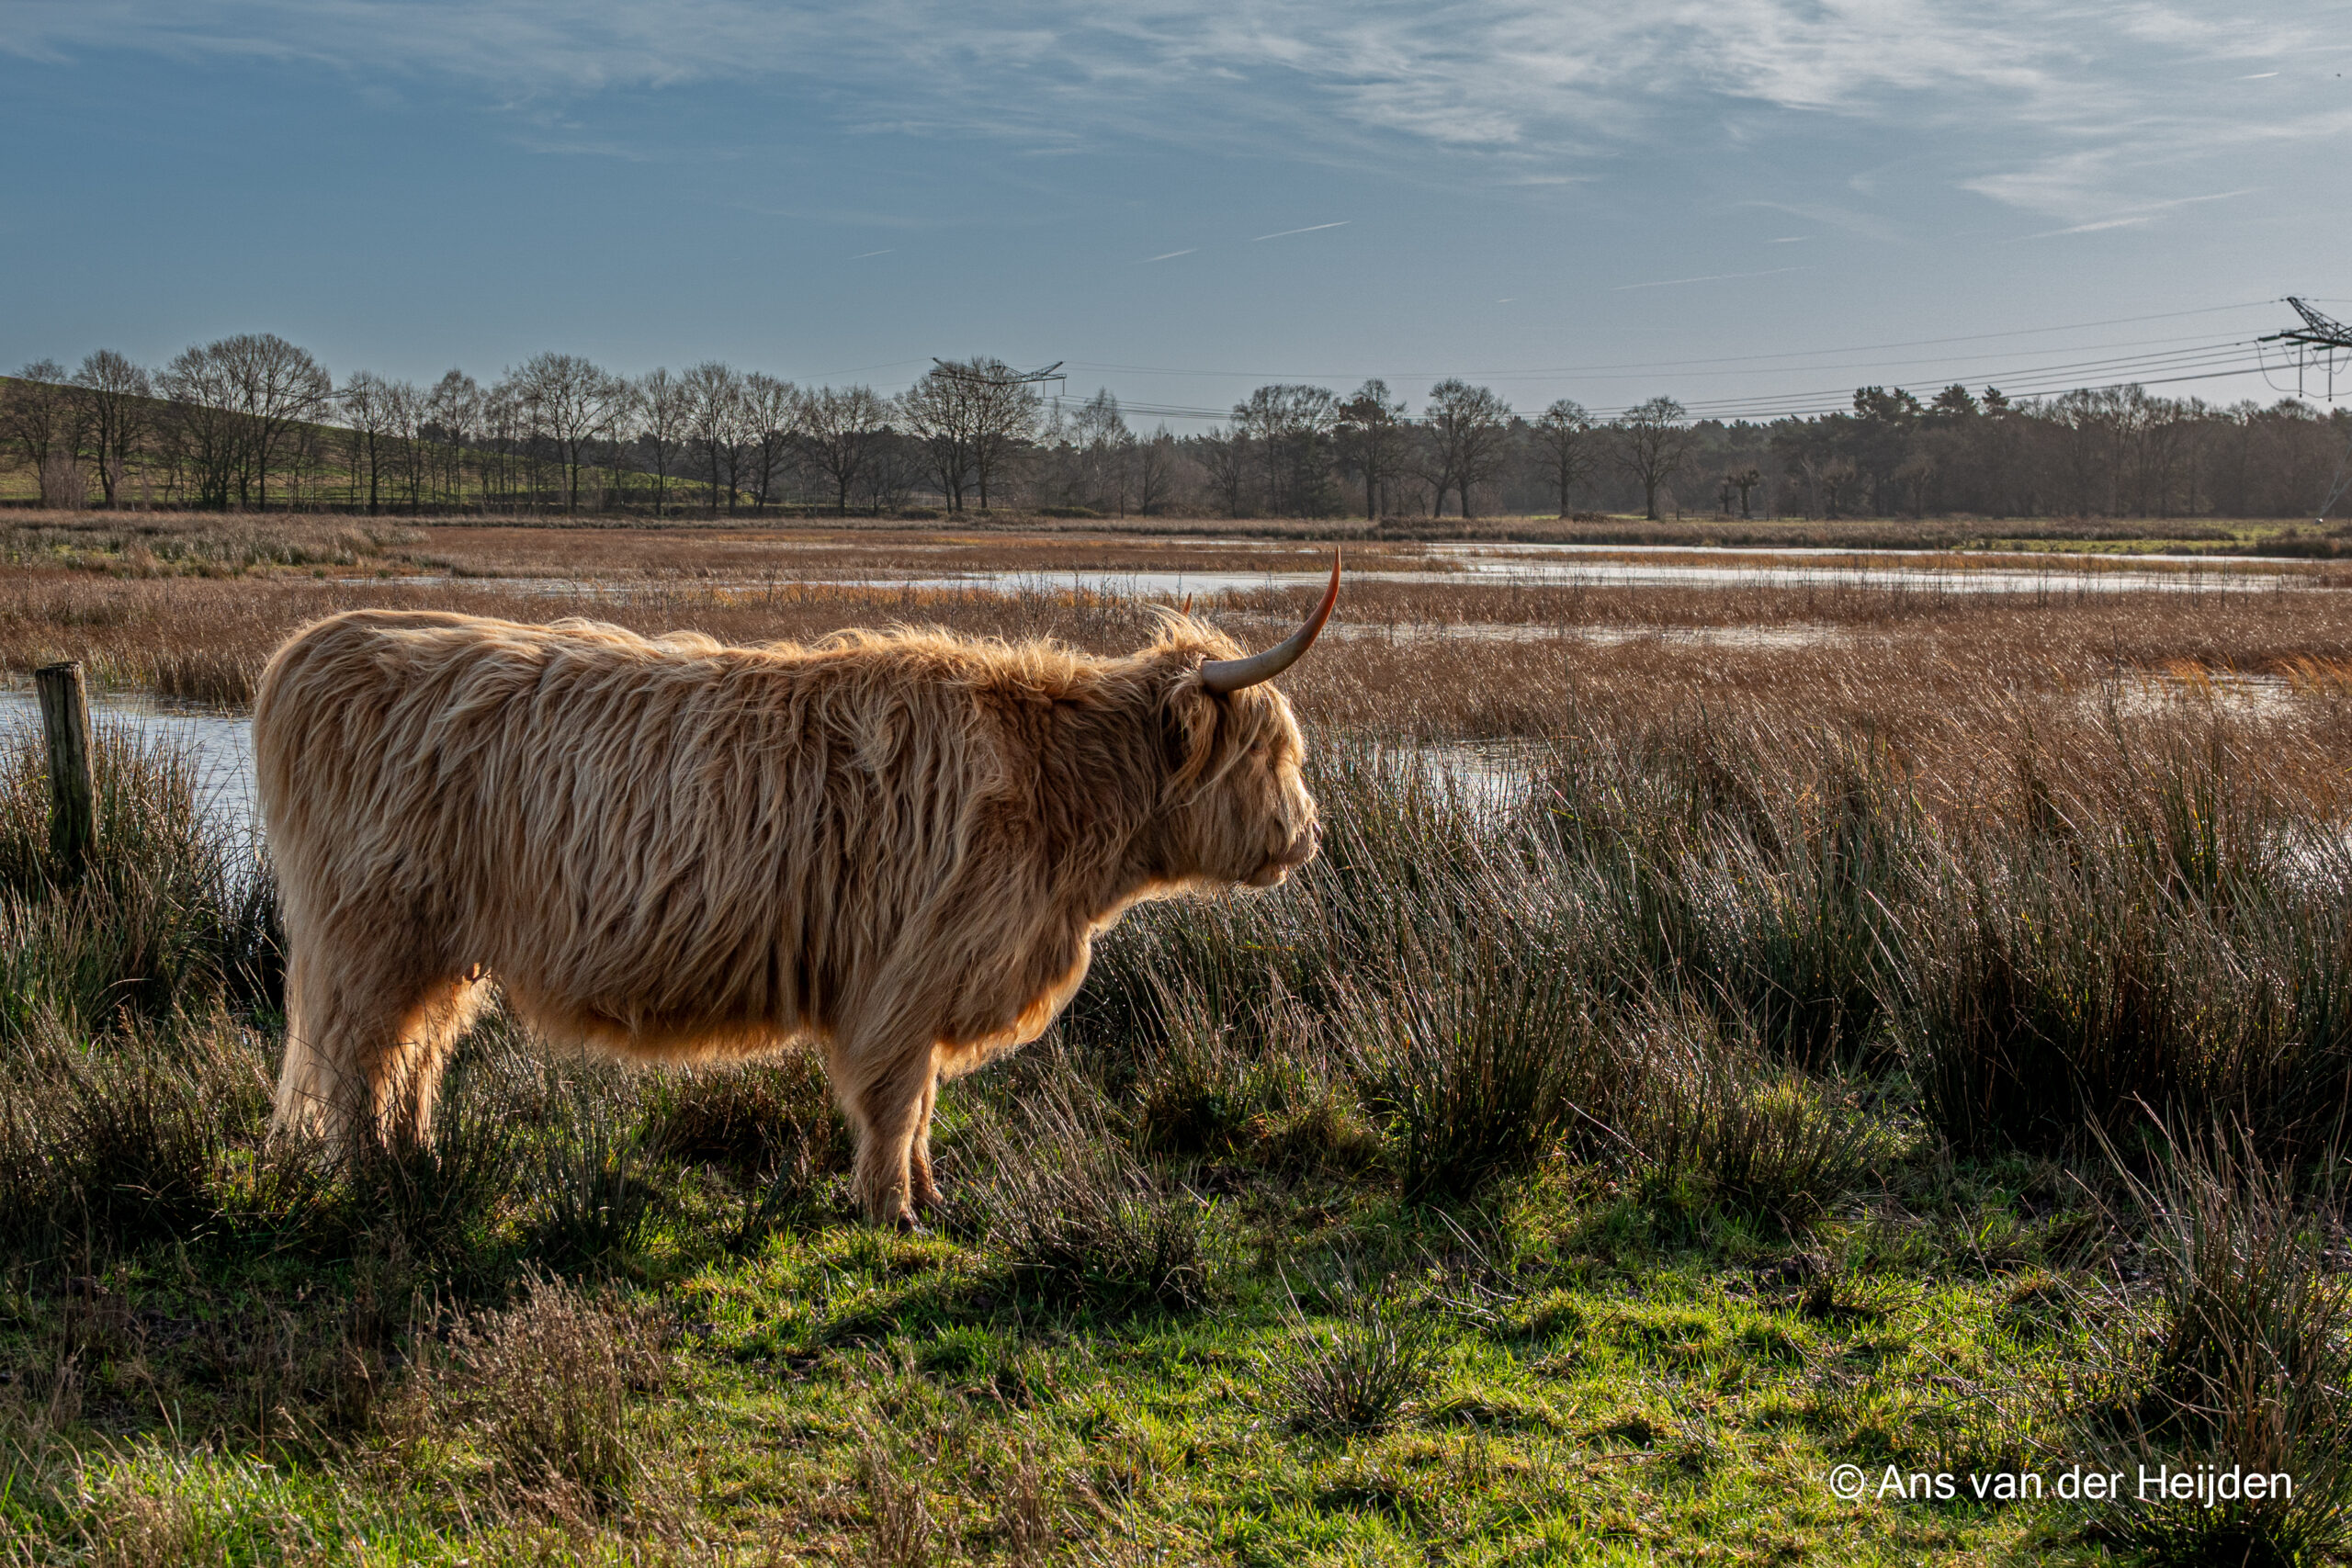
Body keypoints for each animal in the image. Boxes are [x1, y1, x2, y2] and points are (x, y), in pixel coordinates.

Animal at [254, 559, 1338, 1226]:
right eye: (1273, 754)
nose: (1308, 837)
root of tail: (318, 644)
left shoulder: (925, 982)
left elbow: (924, 1105)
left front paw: (930, 1199)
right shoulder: (906, 976)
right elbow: (897, 1101)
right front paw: (893, 1212)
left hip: (440, 951)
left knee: (417, 1053)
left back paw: (419, 1162)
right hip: (375, 938)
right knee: (358, 1061)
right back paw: (374, 1182)